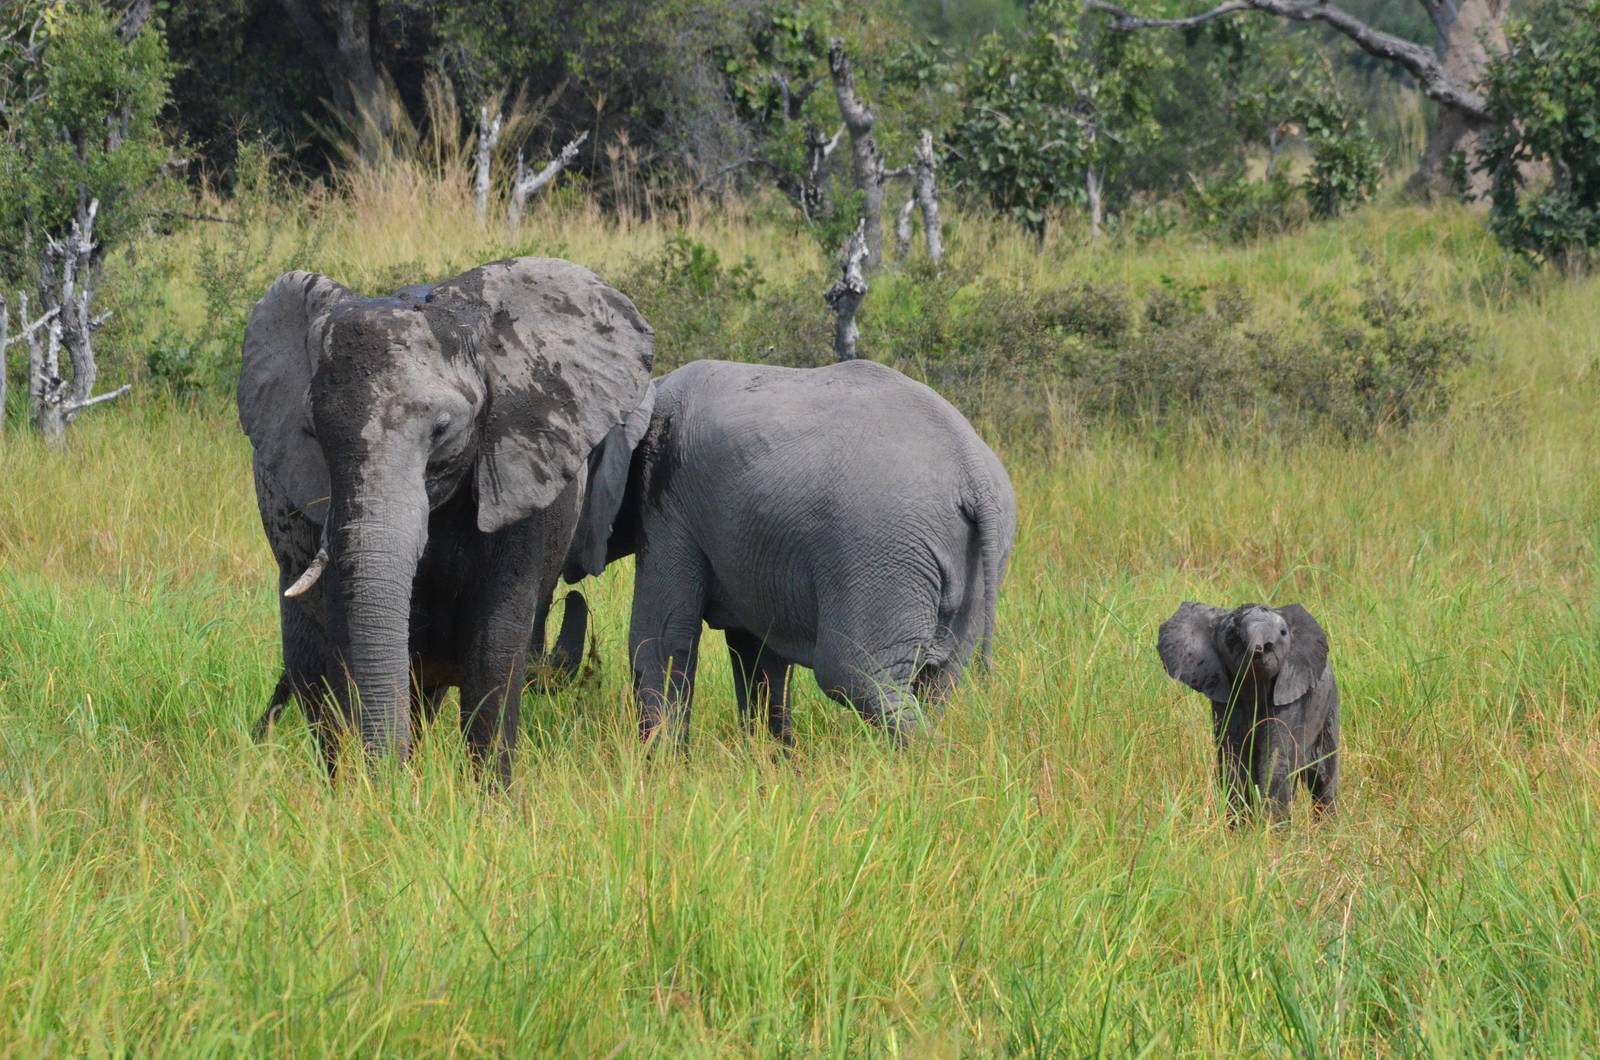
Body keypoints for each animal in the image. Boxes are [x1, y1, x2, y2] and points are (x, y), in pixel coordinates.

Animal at [238, 257, 654, 781]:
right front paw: (376, 792)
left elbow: (494, 650)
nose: (384, 784)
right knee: (315, 674)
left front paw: (486, 797)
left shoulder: (523, 470)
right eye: (312, 432)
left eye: (442, 429)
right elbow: (344, 643)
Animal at [566, 357, 1017, 748]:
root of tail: (973, 473)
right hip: (974, 569)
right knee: (937, 681)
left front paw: (664, 768)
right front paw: (771, 761)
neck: (647, 391)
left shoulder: (667, 502)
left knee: (857, 677)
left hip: (884, 548)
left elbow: (660, 638)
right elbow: (757, 653)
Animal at [1157, 601, 1340, 822]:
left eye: (1283, 632)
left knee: (1322, 777)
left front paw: (1270, 829)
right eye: (1233, 634)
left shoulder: (1291, 697)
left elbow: (1276, 758)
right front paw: (1240, 826)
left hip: (1329, 705)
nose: (1260, 649)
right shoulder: (1226, 698)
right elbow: (1233, 760)